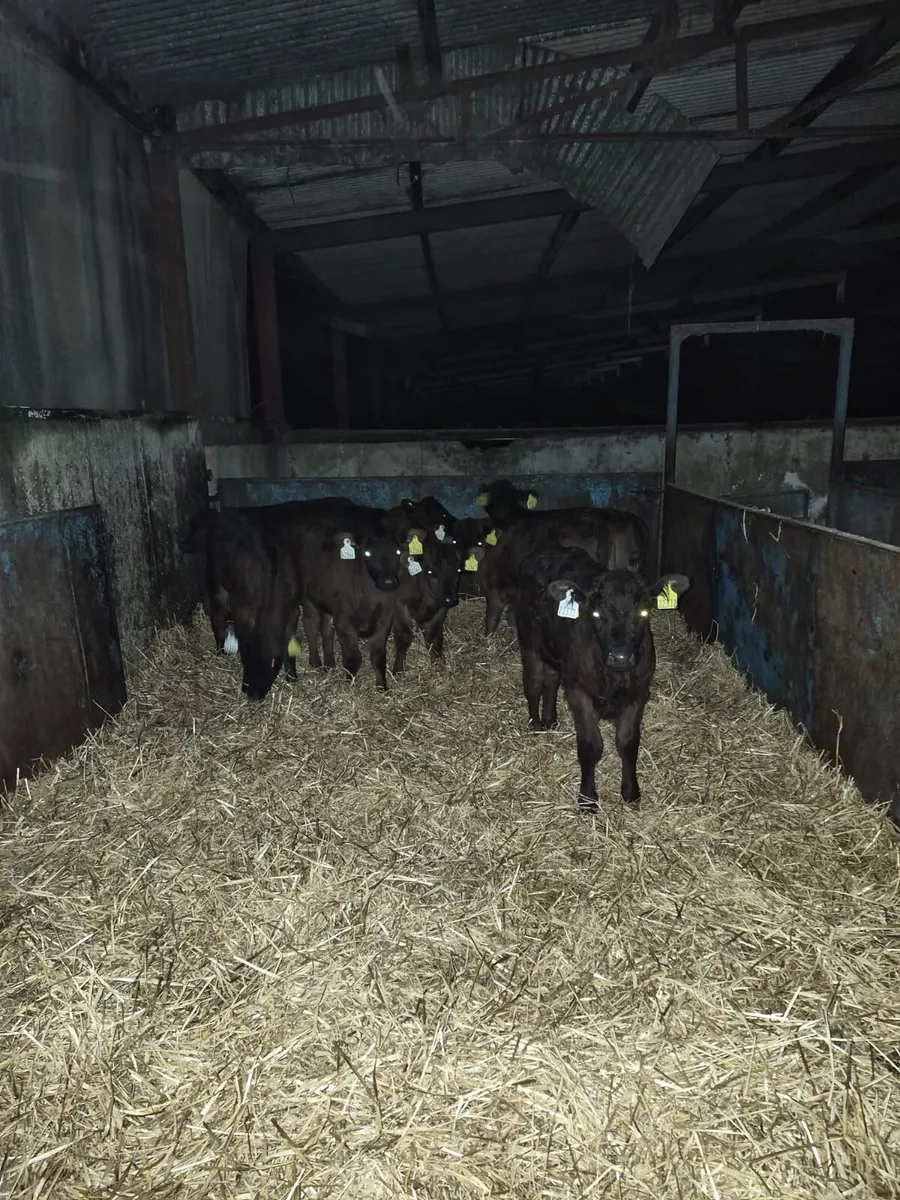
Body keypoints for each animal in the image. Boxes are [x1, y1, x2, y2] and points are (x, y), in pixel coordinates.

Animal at [513, 544, 690, 812]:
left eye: (644, 611)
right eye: (595, 613)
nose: (621, 656)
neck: (614, 676)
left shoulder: (638, 693)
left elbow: (628, 743)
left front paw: (631, 792)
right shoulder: (579, 692)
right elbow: (590, 745)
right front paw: (587, 798)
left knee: (552, 680)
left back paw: (550, 719)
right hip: (529, 643)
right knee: (533, 683)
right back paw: (536, 724)